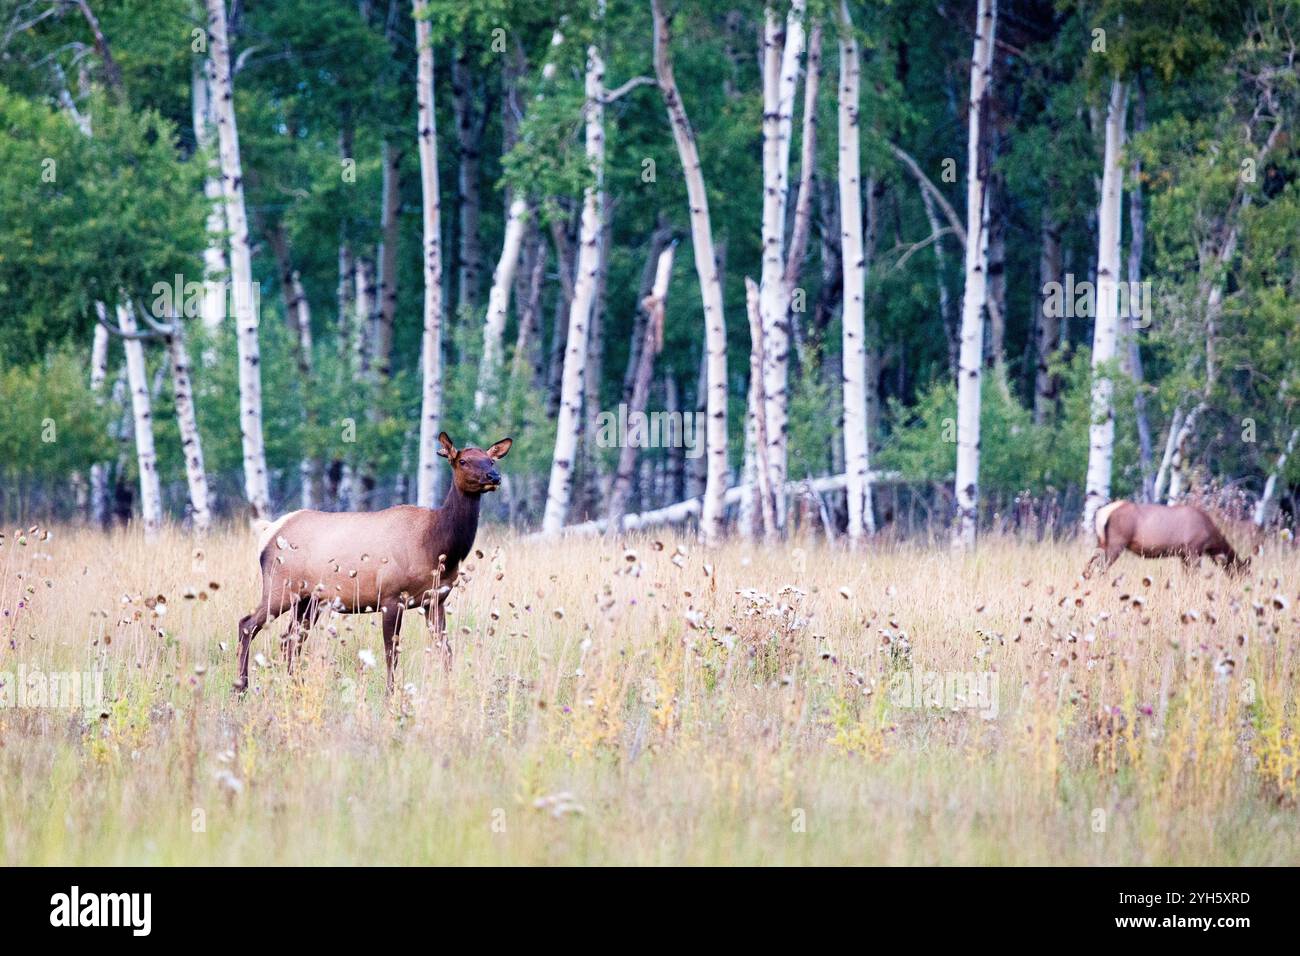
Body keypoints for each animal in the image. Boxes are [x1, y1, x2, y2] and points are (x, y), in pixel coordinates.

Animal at [236, 434, 509, 697]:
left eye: (490, 460)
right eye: (463, 461)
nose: (494, 477)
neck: (437, 547)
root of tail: (268, 532)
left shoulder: (436, 600)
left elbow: (445, 650)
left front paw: (449, 689)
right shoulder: (391, 596)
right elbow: (391, 653)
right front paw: (390, 695)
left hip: (309, 600)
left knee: (289, 640)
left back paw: (295, 687)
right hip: (280, 585)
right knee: (248, 624)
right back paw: (241, 688)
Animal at [1076, 502, 1248, 574]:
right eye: (1243, 570)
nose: (1240, 583)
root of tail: (1101, 513)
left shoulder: (1183, 554)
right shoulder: (1193, 549)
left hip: (1101, 542)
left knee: (1090, 563)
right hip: (1116, 543)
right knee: (1101, 568)